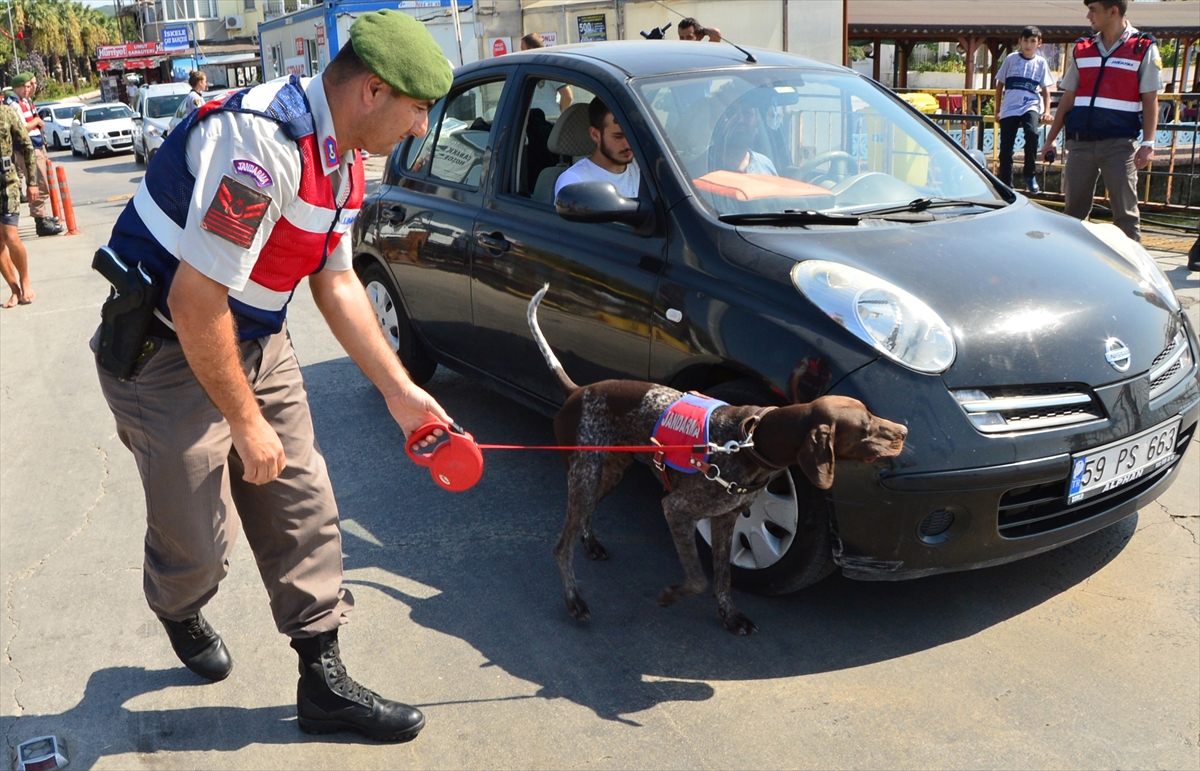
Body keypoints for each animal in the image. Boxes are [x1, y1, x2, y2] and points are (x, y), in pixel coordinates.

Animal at [530, 285, 902, 634]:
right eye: (865, 424)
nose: (903, 430)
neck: (752, 441)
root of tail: (577, 392)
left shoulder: (726, 519)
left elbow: (723, 577)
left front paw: (730, 617)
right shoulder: (677, 509)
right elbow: (698, 579)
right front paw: (671, 595)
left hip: (607, 473)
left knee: (586, 515)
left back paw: (590, 543)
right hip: (584, 474)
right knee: (562, 547)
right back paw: (574, 600)